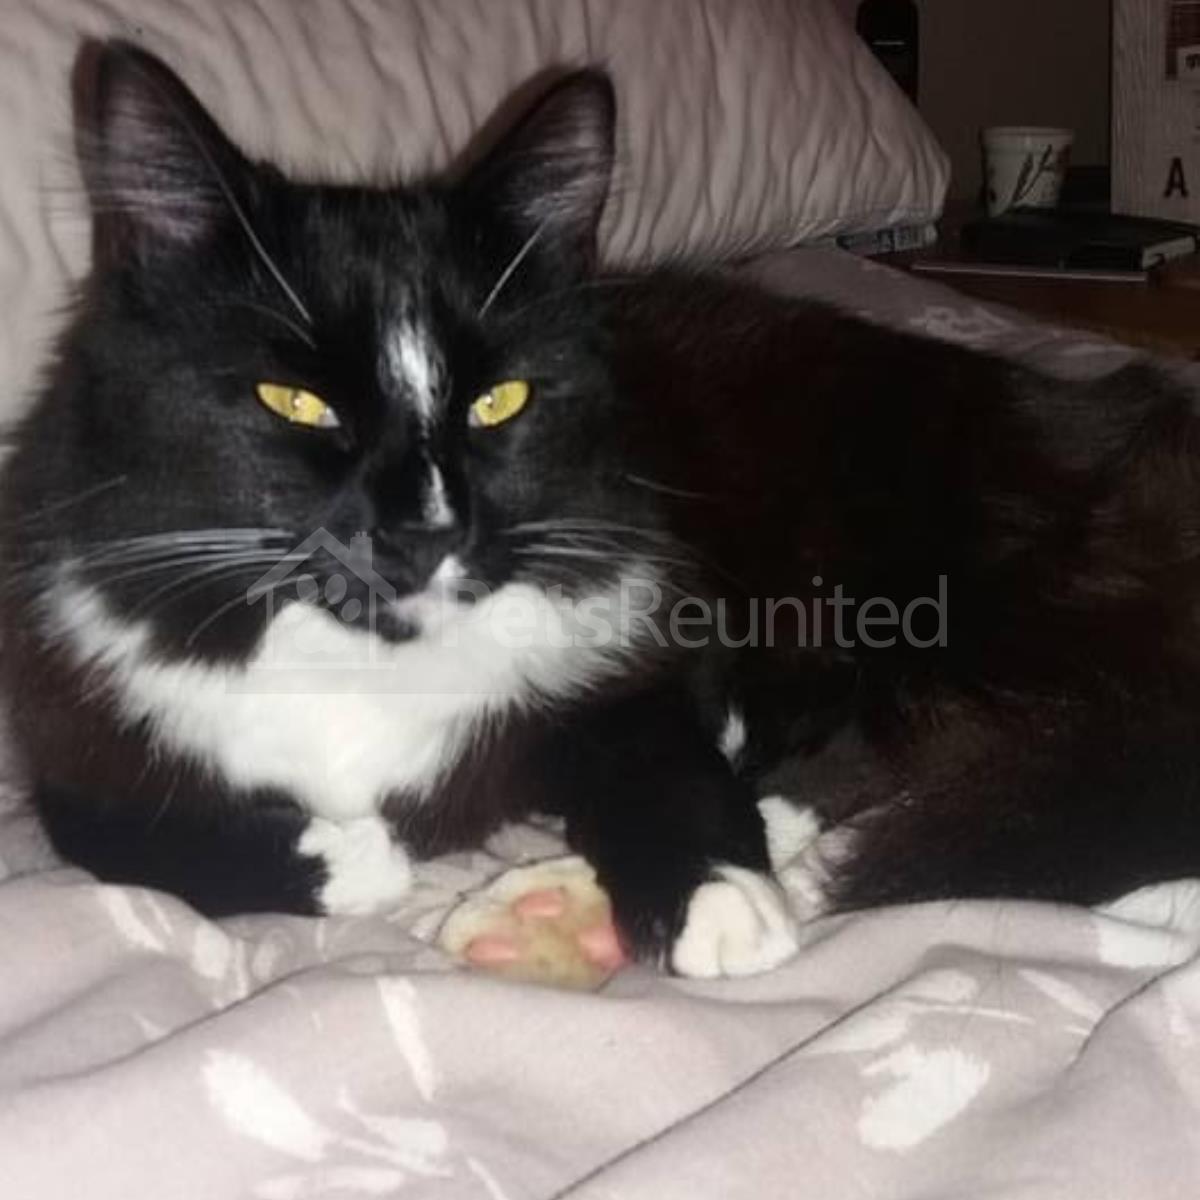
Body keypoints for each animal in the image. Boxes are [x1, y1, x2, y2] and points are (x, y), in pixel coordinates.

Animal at [5, 38, 1200, 980]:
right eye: (293, 401)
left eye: (500, 400)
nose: (424, 532)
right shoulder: (75, 710)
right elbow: (109, 834)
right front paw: (351, 856)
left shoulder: (645, 642)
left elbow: (657, 754)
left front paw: (719, 900)